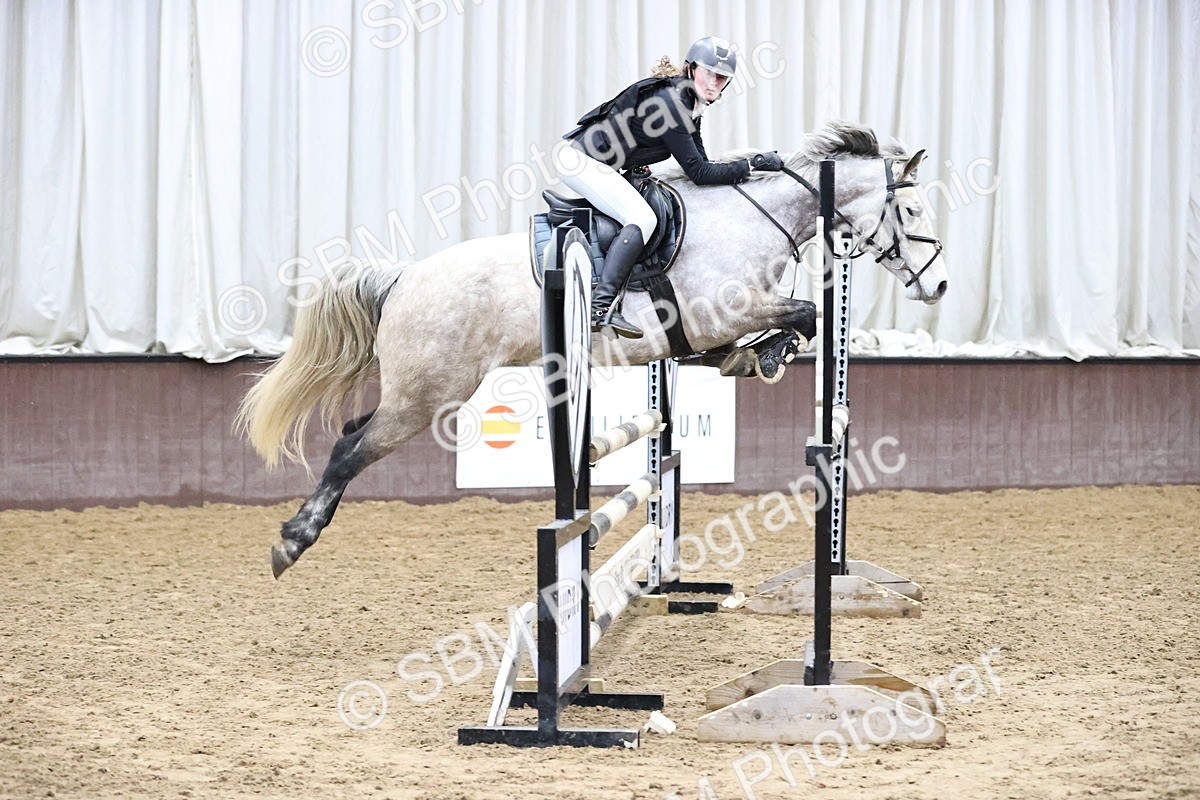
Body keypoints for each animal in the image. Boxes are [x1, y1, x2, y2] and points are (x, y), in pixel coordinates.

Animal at [236, 121, 949, 578]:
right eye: (913, 215)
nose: (938, 285)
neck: (753, 218)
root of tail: (405, 278)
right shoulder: (722, 312)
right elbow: (804, 314)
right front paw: (764, 354)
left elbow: (785, 325)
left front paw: (751, 358)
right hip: (429, 395)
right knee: (352, 446)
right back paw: (292, 542)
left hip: (421, 392)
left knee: (353, 432)